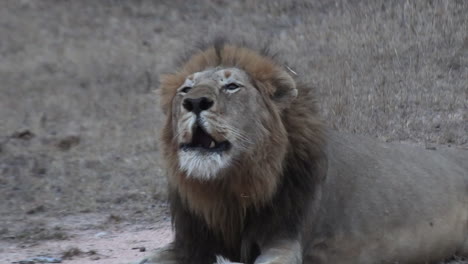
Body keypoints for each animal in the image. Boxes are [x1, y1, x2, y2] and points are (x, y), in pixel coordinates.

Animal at [139, 39, 468, 264]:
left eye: (232, 86)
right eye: (185, 89)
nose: (194, 102)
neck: (226, 189)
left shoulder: (286, 238)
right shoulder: (191, 243)